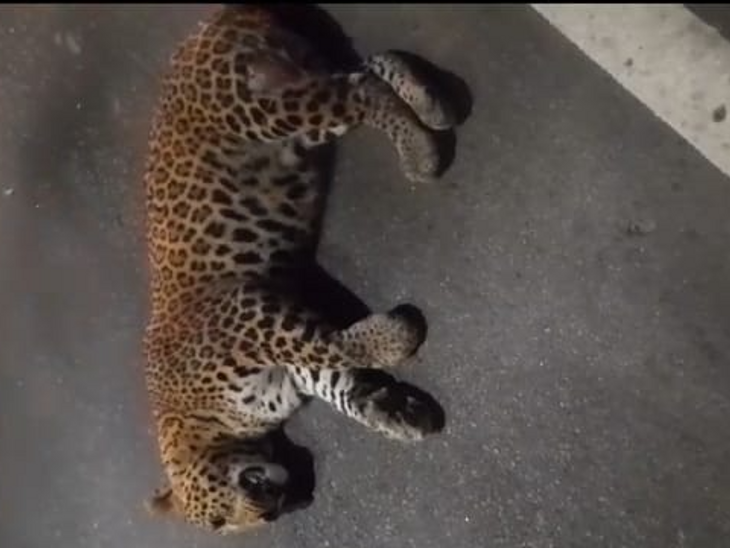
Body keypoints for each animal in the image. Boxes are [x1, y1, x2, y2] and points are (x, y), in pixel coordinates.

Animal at [141, 4, 458, 536]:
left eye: (218, 521)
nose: (272, 512)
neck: (198, 420)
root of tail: (209, 23)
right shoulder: (293, 371)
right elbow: (344, 381)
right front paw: (400, 414)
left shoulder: (245, 311)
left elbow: (330, 344)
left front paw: (397, 336)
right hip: (299, 111)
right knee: (365, 70)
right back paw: (432, 102)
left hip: (267, 108)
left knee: (361, 90)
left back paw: (422, 151)